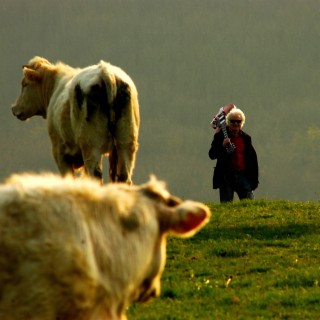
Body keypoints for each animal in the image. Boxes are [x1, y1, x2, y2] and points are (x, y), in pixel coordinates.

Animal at [11, 56, 139, 184]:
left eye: (24, 84)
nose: (13, 108)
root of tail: (105, 71)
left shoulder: (59, 151)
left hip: (91, 145)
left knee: (96, 175)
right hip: (126, 142)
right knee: (124, 177)